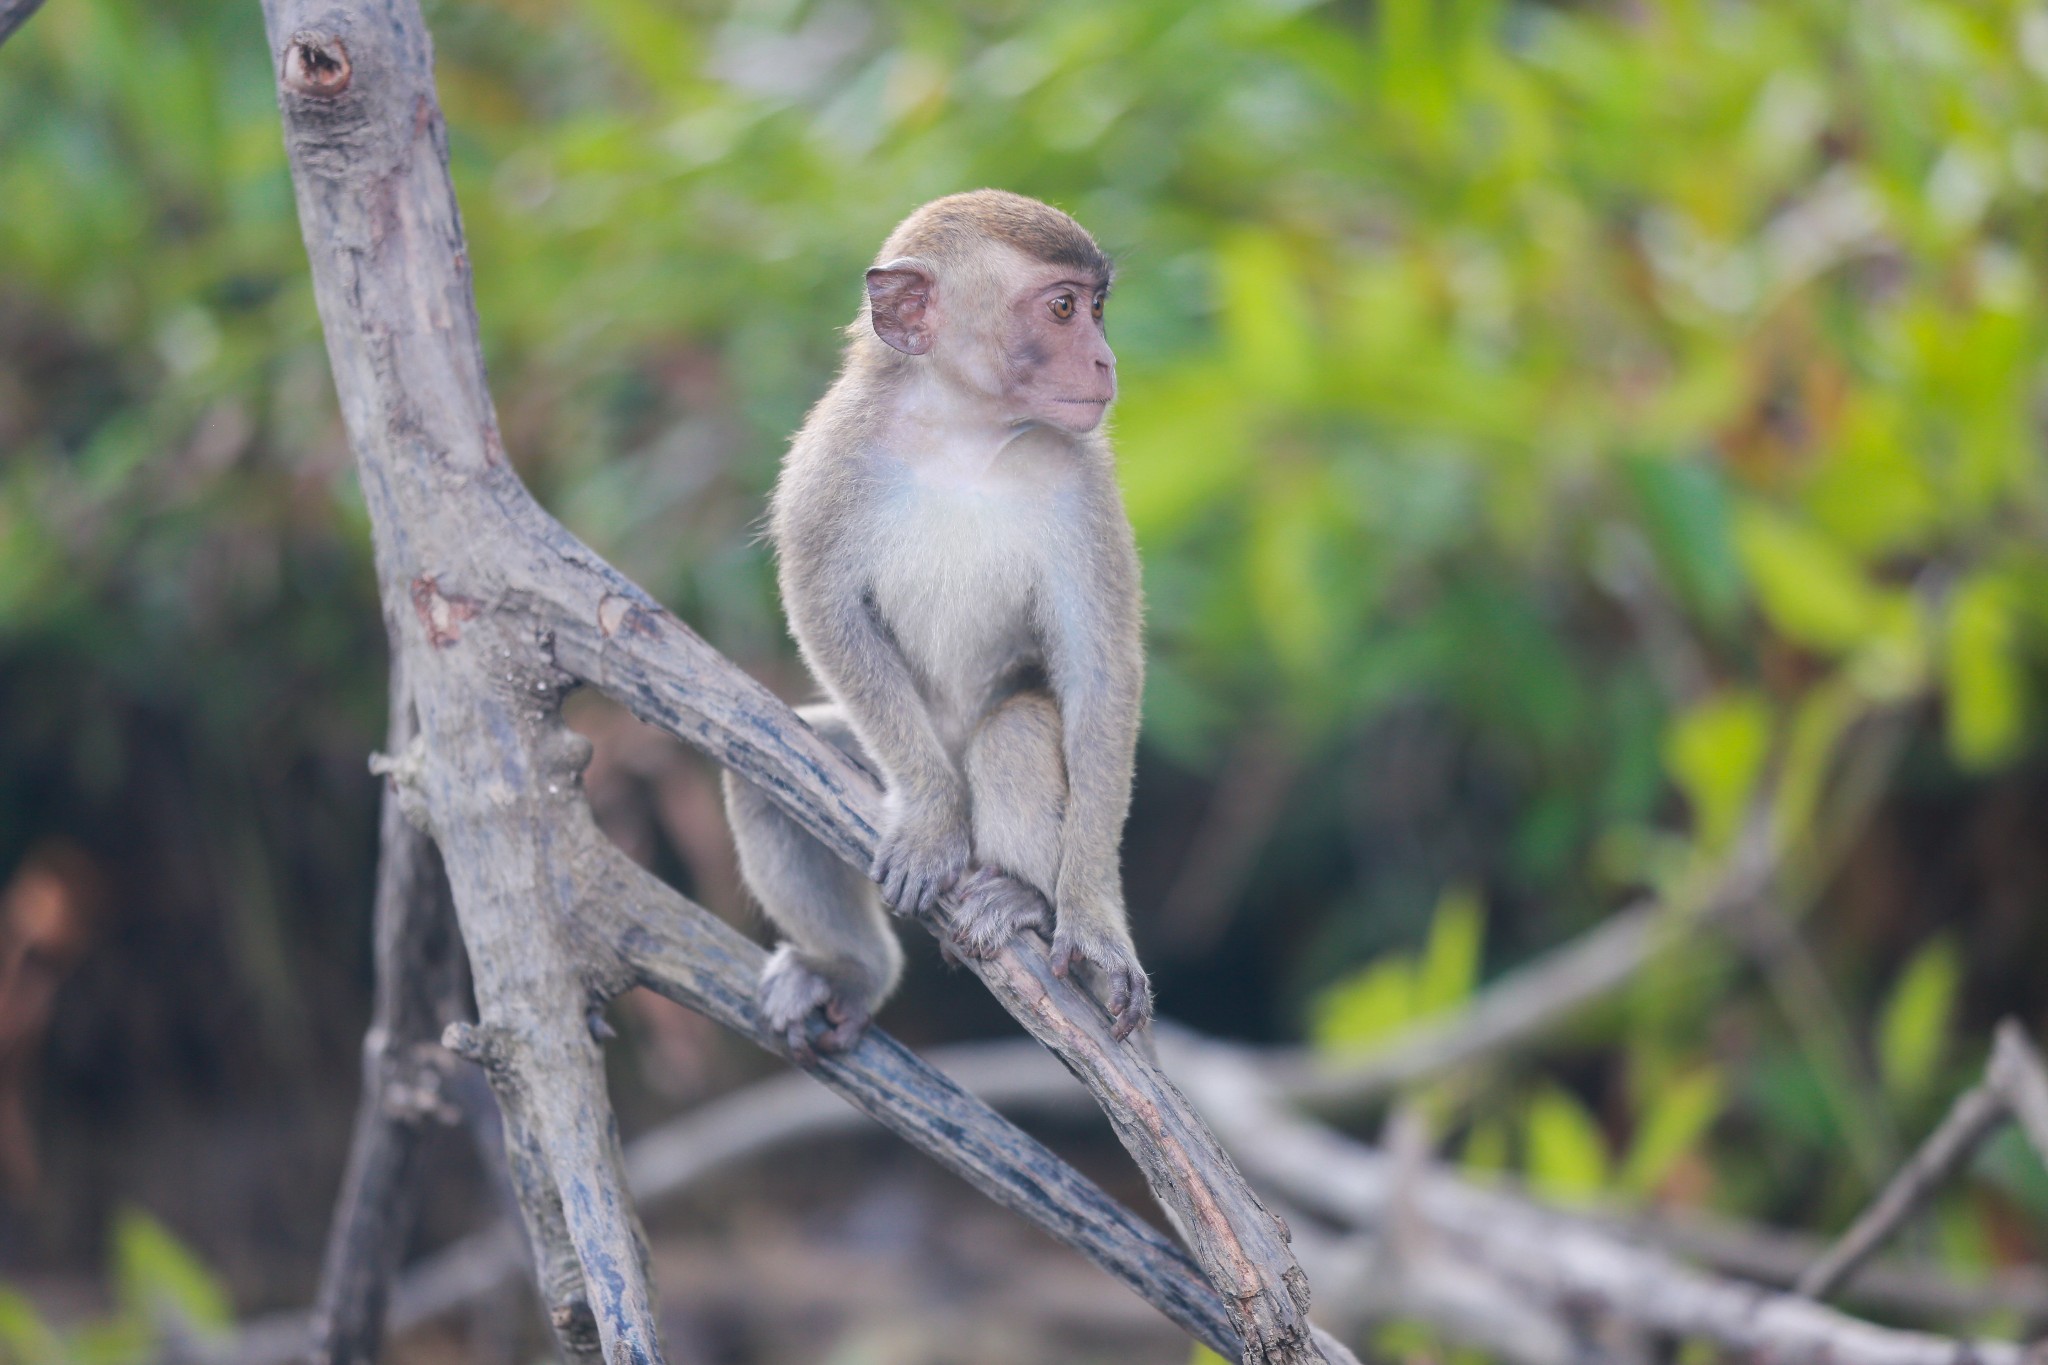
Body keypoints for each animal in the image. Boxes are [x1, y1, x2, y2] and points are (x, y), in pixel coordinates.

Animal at [729, 189, 1155, 1055]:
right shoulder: (830, 457)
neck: (966, 432)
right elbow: (824, 611)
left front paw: (1093, 917)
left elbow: (1100, 670)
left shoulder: (1084, 477)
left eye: (1096, 307)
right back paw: (848, 969)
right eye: (1064, 308)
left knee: (1017, 732)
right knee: (767, 772)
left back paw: (1027, 899)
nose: (1105, 362)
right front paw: (930, 821)